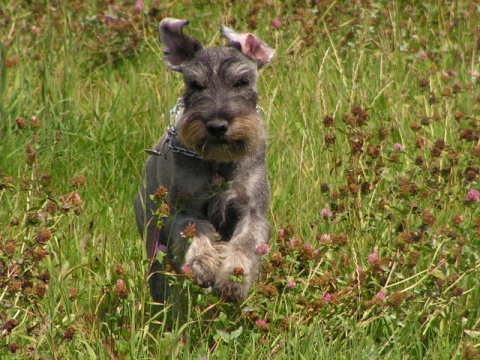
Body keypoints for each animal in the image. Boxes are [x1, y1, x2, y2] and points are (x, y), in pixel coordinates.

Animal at [133, 17, 274, 304]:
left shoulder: (252, 210)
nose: (217, 126)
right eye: (195, 84)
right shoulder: (183, 210)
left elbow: (245, 242)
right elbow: (196, 229)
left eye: (242, 81)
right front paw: (202, 264)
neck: (218, 163)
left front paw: (233, 279)